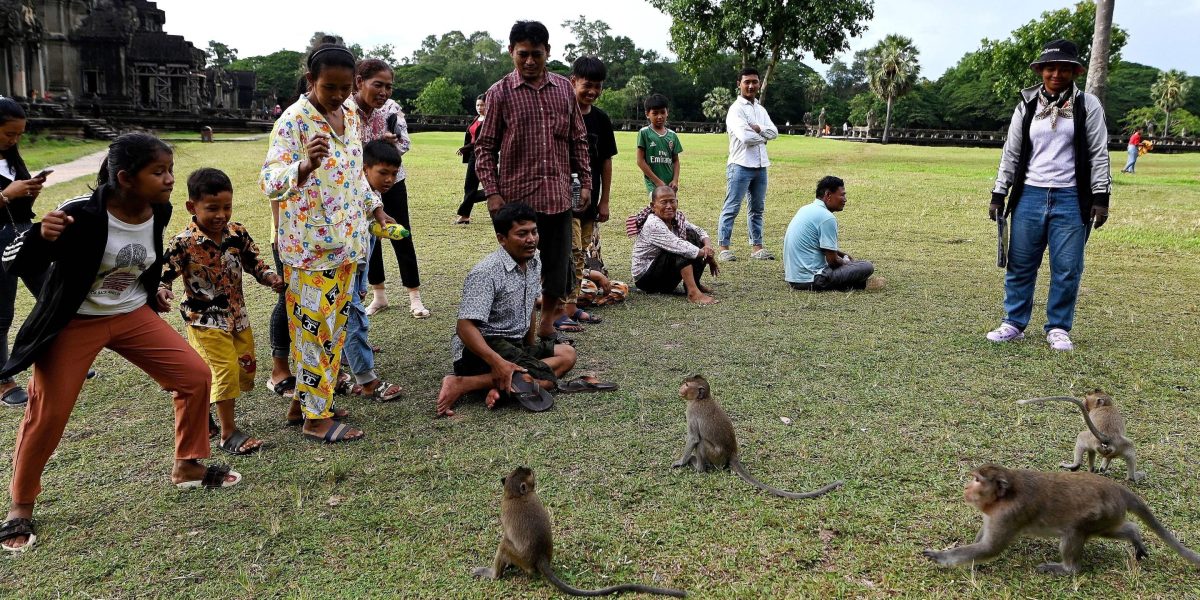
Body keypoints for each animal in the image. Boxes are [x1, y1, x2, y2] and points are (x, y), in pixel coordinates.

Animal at [472, 465, 691, 597]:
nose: (532, 468)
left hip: (522, 559)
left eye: (529, 473)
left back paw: (494, 574)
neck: (515, 496)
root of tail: (540, 557)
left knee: (504, 544)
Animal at [921, 465, 1195, 573]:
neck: (1004, 498)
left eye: (978, 480)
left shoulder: (1009, 515)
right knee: (1117, 528)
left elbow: (990, 548)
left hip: (1100, 513)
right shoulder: (993, 514)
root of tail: (1118, 489)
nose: (967, 487)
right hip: (1110, 515)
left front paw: (941, 557)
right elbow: (982, 540)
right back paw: (1134, 534)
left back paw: (1066, 569)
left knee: (1075, 531)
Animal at [1017, 388, 1147, 482]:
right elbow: (1102, 456)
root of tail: (1107, 437)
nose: (1084, 402)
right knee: (1129, 449)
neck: (1107, 406)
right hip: (1118, 444)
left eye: (1086, 399)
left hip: (1098, 441)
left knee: (1081, 437)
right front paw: (1101, 468)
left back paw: (1075, 466)